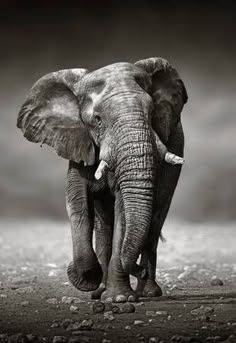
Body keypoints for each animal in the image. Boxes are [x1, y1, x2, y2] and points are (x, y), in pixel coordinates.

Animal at [17, 57, 188, 302]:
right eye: (97, 120)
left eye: (151, 113)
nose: (139, 270)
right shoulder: (78, 144)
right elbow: (77, 204)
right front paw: (86, 279)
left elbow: (123, 212)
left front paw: (119, 298)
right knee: (104, 223)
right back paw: (100, 291)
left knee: (155, 219)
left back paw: (148, 292)